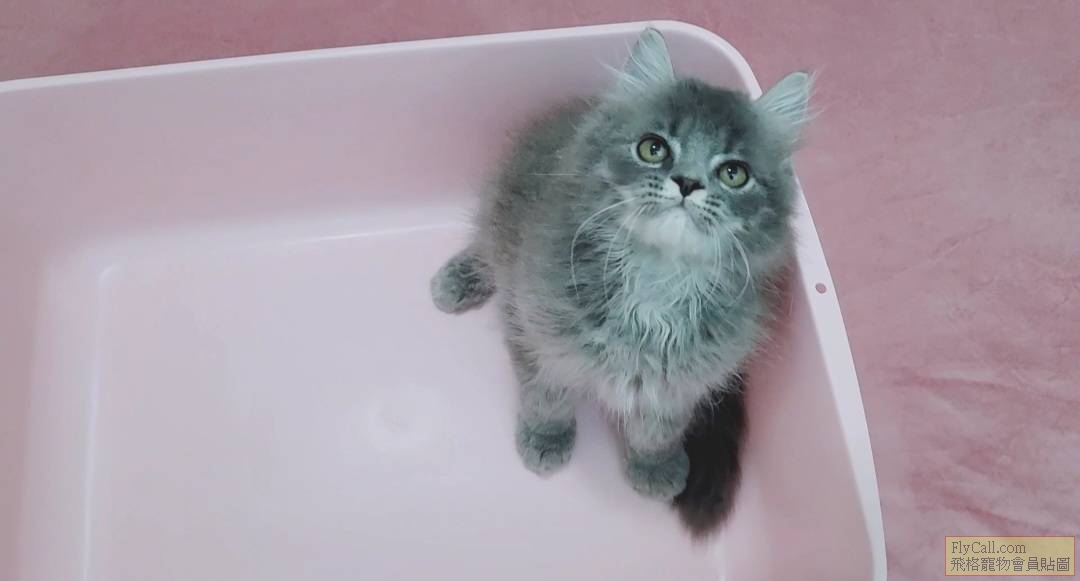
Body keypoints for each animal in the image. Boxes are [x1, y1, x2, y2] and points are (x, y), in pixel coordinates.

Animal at [430, 27, 812, 536]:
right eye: (653, 148)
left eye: (734, 173)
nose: (687, 182)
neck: (656, 280)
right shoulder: (541, 335)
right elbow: (547, 397)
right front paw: (546, 439)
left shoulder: (682, 382)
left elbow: (656, 431)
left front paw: (654, 468)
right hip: (504, 227)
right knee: (487, 249)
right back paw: (455, 282)